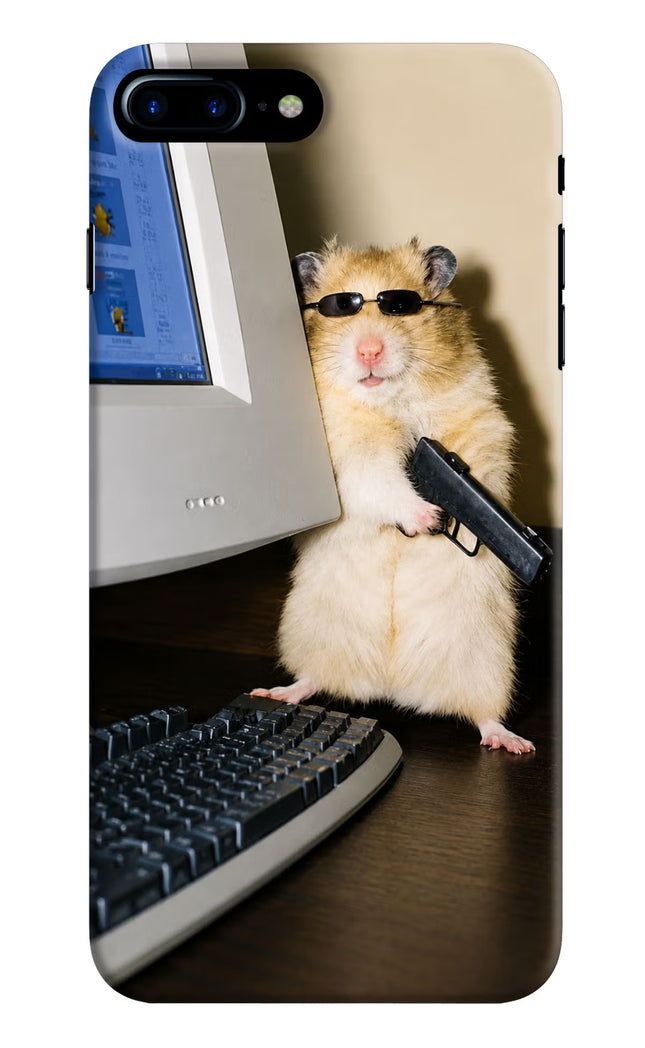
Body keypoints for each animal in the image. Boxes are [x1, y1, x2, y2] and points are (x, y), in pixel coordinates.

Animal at [252, 238, 534, 754]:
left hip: (487, 660)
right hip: (311, 632)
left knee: (484, 714)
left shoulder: (481, 423)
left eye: (401, 306)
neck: (389, 401)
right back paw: (276, 692)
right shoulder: (348, 457)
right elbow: (380, 481)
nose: (369, 351)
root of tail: (393, 686)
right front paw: (428, 518)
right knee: (313, 679)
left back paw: (513, 742)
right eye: (340, 307)